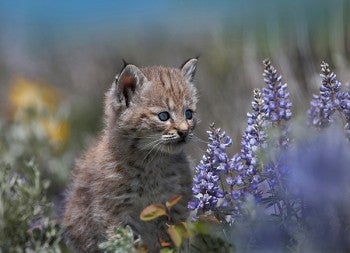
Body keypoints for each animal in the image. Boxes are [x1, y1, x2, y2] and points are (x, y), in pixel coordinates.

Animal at [63, 58, 198, 252]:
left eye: (188, 114)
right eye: (163, 116)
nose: (184, 132)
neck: (151, 160)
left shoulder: (176, 206)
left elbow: (175, 240)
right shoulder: (114, 212)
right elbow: (125, 243)